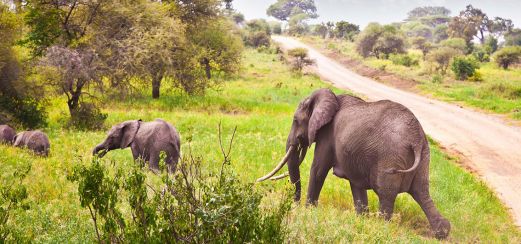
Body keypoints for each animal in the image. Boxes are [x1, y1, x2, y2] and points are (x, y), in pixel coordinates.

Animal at [258, 88, 448, 239]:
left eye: (296, 121)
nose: (294, 205)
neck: (331, 97)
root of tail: (415, 138)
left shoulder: (327, 135)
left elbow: (318, 170)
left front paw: (308, 211)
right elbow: (356, 185)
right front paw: (361, 219)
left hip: (391, 157)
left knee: (387, 194)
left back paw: (381, 228)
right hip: (424, 156)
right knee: (422, 192)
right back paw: (442, 232)